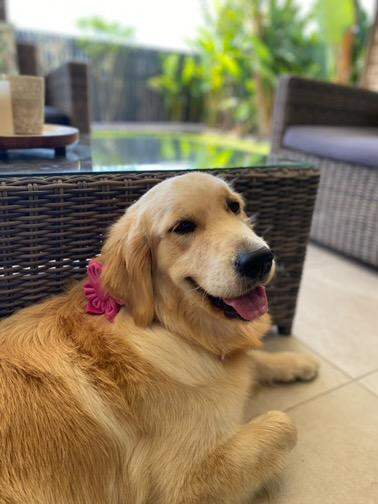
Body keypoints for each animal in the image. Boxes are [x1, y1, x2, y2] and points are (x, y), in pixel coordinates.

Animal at [0, 173, 318, 504]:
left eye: (234, 206)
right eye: (183, 227)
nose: (260, 258)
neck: (169, 327)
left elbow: (255, 359)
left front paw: (298, 362)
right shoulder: (182, 484)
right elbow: (284, 423)